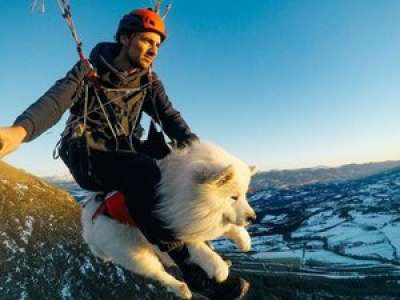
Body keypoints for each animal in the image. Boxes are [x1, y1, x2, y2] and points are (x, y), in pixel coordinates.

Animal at [81, 142, 256, 298]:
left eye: (244, 195)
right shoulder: (170, 227)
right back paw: (182, 289)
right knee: (159, 274)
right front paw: (218, 268)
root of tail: (89, 225)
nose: (253, 218)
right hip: (134, 253)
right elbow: (197, 247)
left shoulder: (197, 220)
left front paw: (244, 241)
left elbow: (226, 226)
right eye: (233, 197)